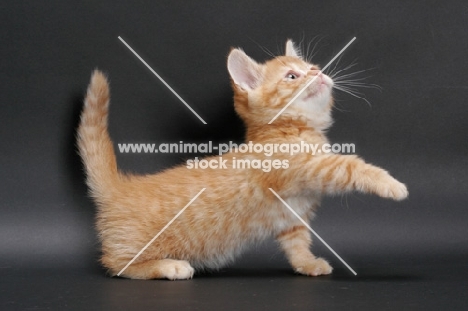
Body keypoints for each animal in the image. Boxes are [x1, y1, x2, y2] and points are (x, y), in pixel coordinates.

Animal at [77, 39, 406, 280]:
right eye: (292, 76)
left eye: (312, 67)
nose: (319, 73)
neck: (291, 129)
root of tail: (120, 188)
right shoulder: (308, 168)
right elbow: (349, 166)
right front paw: (391, 184)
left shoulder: (291, 215)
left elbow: (297, 242)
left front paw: (308, 264)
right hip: (137, 246)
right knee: (116, 264)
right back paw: (169, 266)